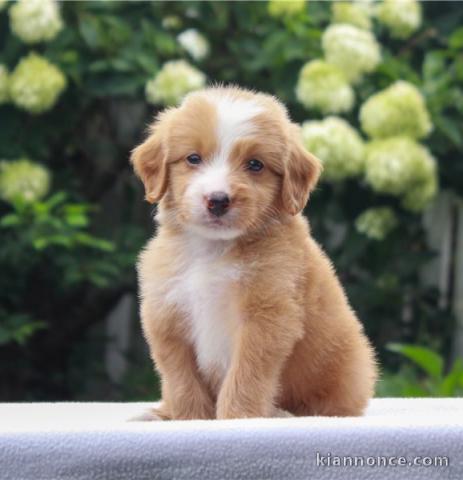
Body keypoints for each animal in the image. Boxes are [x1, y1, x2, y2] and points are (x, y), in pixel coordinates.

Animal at [132, 86, 378, 420]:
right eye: (193, 158)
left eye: (255, 165)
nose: (217, 200)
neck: (213, 250)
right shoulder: (166, 315)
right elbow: (180, 378)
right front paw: (186, 417)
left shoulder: (267, 316)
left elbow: (246, 374)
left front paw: (238, 416)